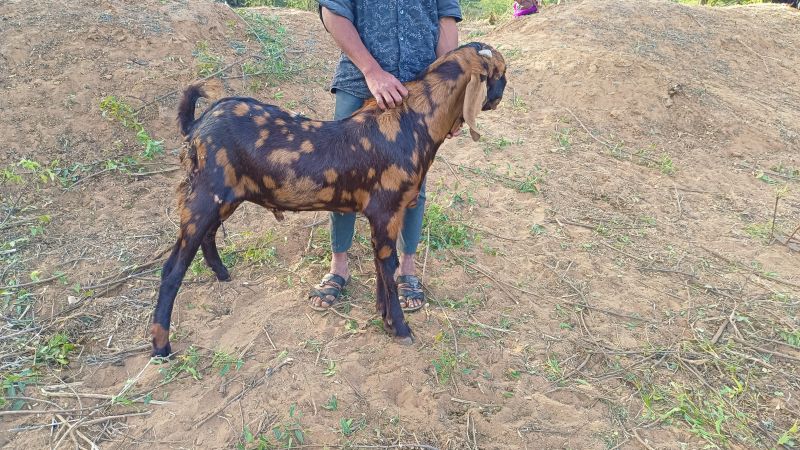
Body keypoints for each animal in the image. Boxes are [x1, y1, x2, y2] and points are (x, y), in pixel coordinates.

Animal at [150, 42, 508, 357]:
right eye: (501, 72)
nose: (504, 91)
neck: (410, 123)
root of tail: (198, 123)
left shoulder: (380, 217)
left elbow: (382, 270)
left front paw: (384, 316)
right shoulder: (387, 211)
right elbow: (388, 270)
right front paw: (399, 327)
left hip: (224, 198)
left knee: (208, 234)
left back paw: (222, 274)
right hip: (204, 197)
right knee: (172, 269)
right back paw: (161, 347)